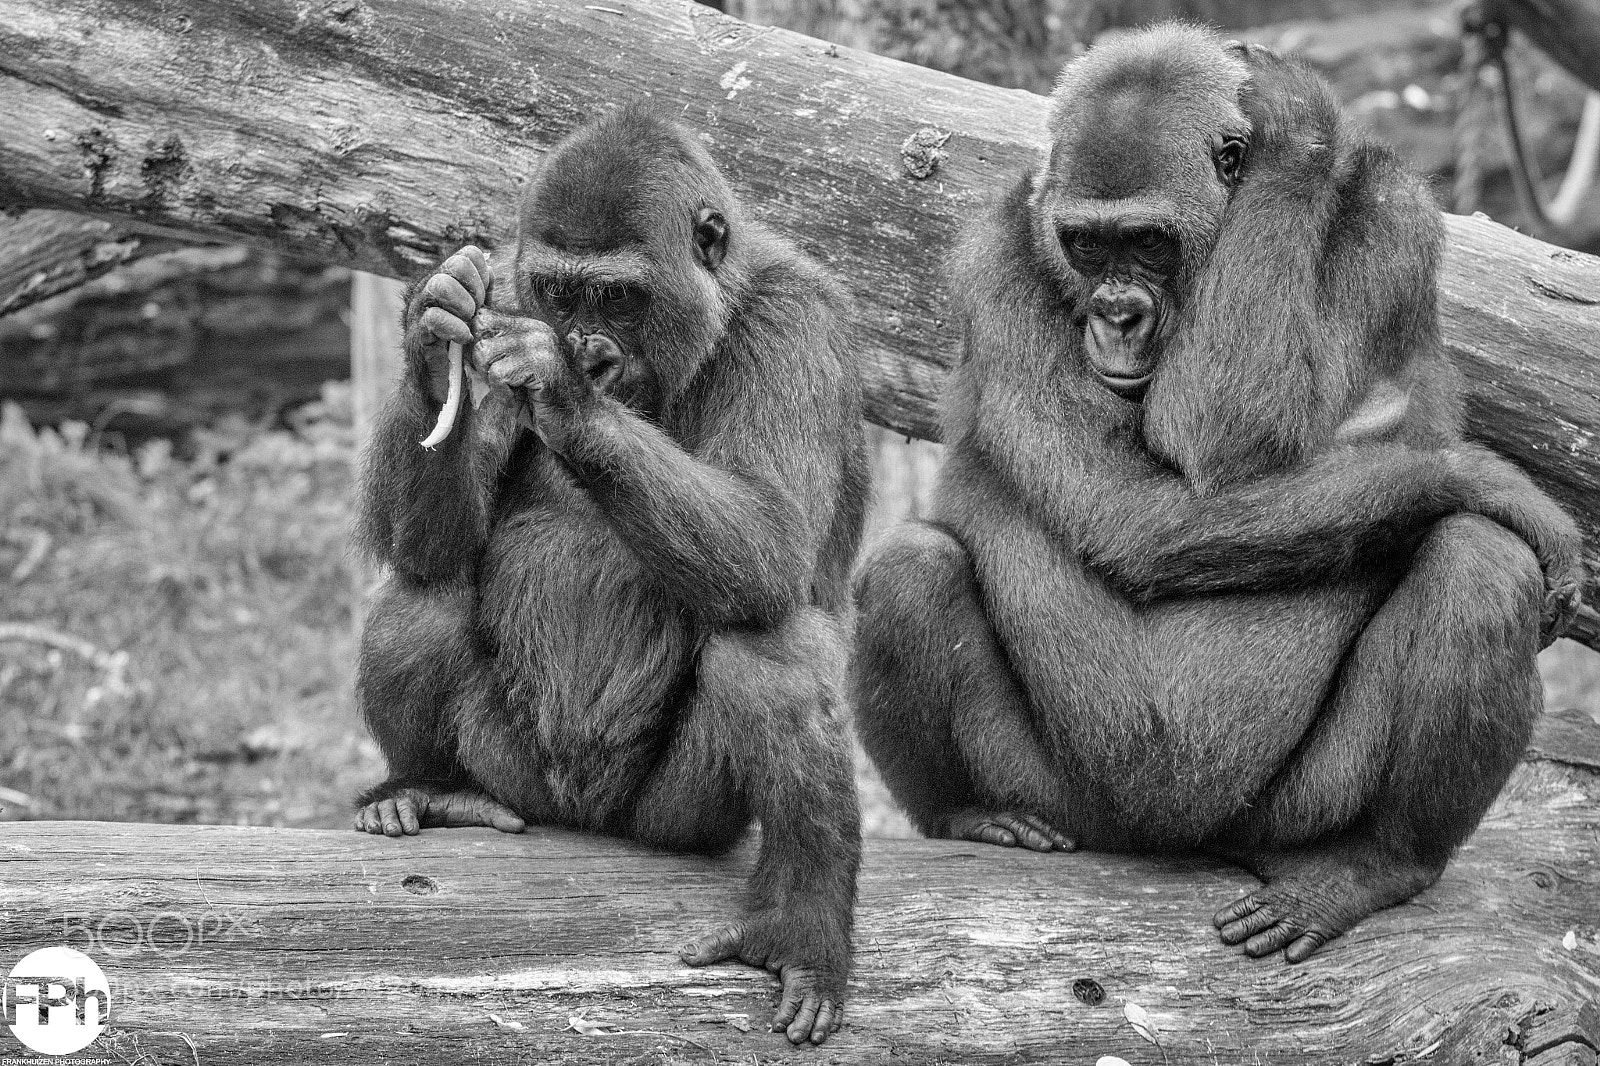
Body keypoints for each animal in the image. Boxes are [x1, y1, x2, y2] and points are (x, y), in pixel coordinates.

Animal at [353, 107, 868, 1044]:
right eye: (562, 294)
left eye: (619, 297)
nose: (587, 351)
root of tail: (582, 819)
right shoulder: (508, 294)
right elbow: (430, 545)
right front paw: (431, 334)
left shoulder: (798, 321)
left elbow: (769, 537)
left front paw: (562, 386)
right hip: (516, 775)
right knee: (422, 593)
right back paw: (430, 789)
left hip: (674, 821)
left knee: (770, 644)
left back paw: (803, 923)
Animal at [850, 25, 1583, 963]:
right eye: (1086, 247)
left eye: (1148, 243)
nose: (1115, 315)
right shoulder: (995, 252)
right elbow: (1136, 506)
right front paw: (1487, 477)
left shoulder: (1393, 216)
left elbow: (1242, 437)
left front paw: (1298, 138)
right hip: (1063, 802)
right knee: (911, 567)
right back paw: (969, 813)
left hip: (1291, 815)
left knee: (1481, 562)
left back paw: (1379, 863)